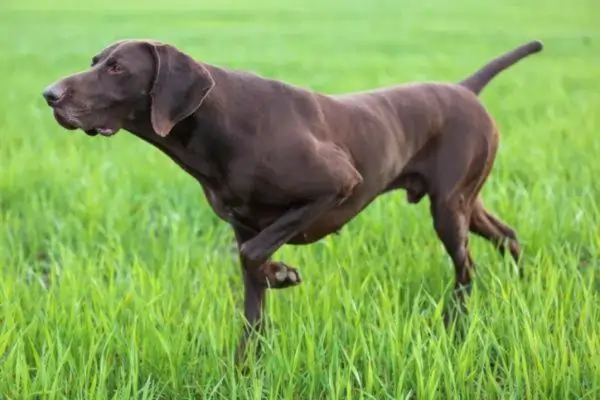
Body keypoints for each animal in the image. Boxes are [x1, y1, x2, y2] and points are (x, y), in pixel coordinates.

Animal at [39, 38, 540, 360]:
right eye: (95, 60)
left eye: (117, 68)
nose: (49, 94)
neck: (218, 124)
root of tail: (464, 88)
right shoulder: (241, 223)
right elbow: (251, 297)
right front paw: (247, 367)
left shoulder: (337, 185)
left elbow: (254, 254)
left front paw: (282, 273)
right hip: (464, 202)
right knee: (508, 235)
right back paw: (521, 285)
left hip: (448, 209)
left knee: (466, 268)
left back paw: (459, 324)